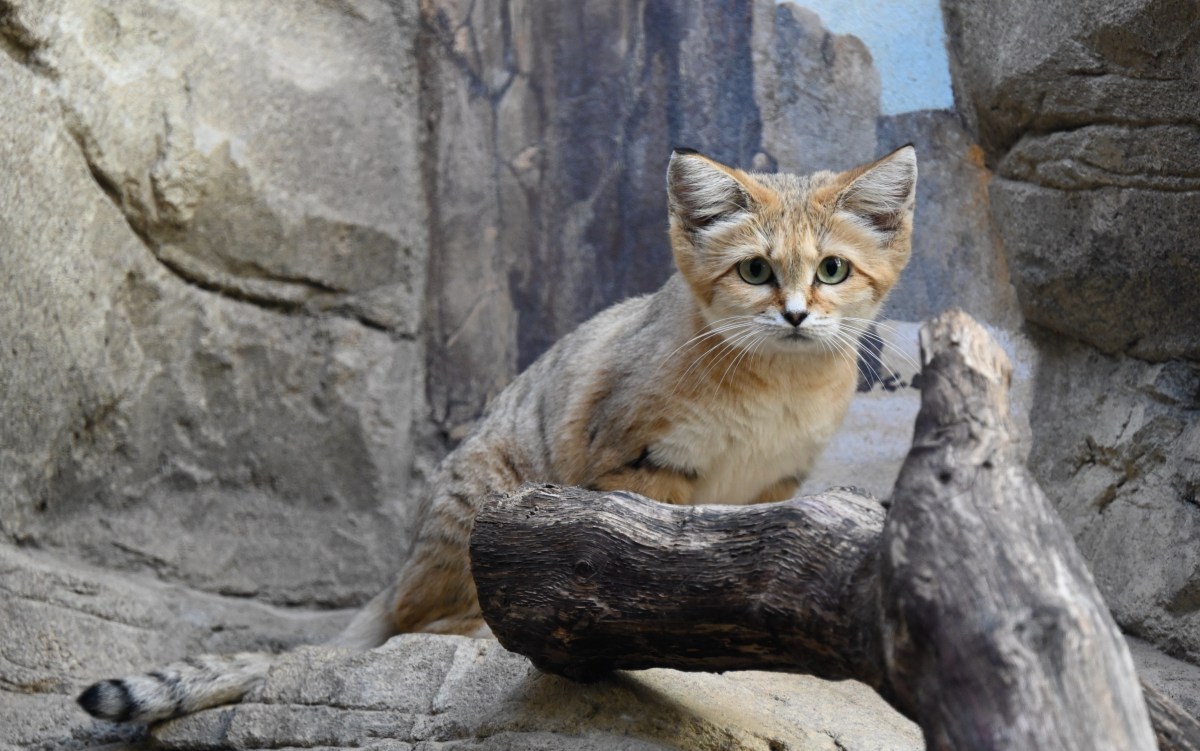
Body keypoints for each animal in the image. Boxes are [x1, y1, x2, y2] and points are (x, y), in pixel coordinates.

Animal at [79, 143, 912, 724]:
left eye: (832, 270)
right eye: (754, 271)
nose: (796, 315)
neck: (778, 382)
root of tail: (399, 570)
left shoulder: (775, 487)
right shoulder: (639, 463)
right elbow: (653, 572)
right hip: (483, 506)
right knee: (419, 626)